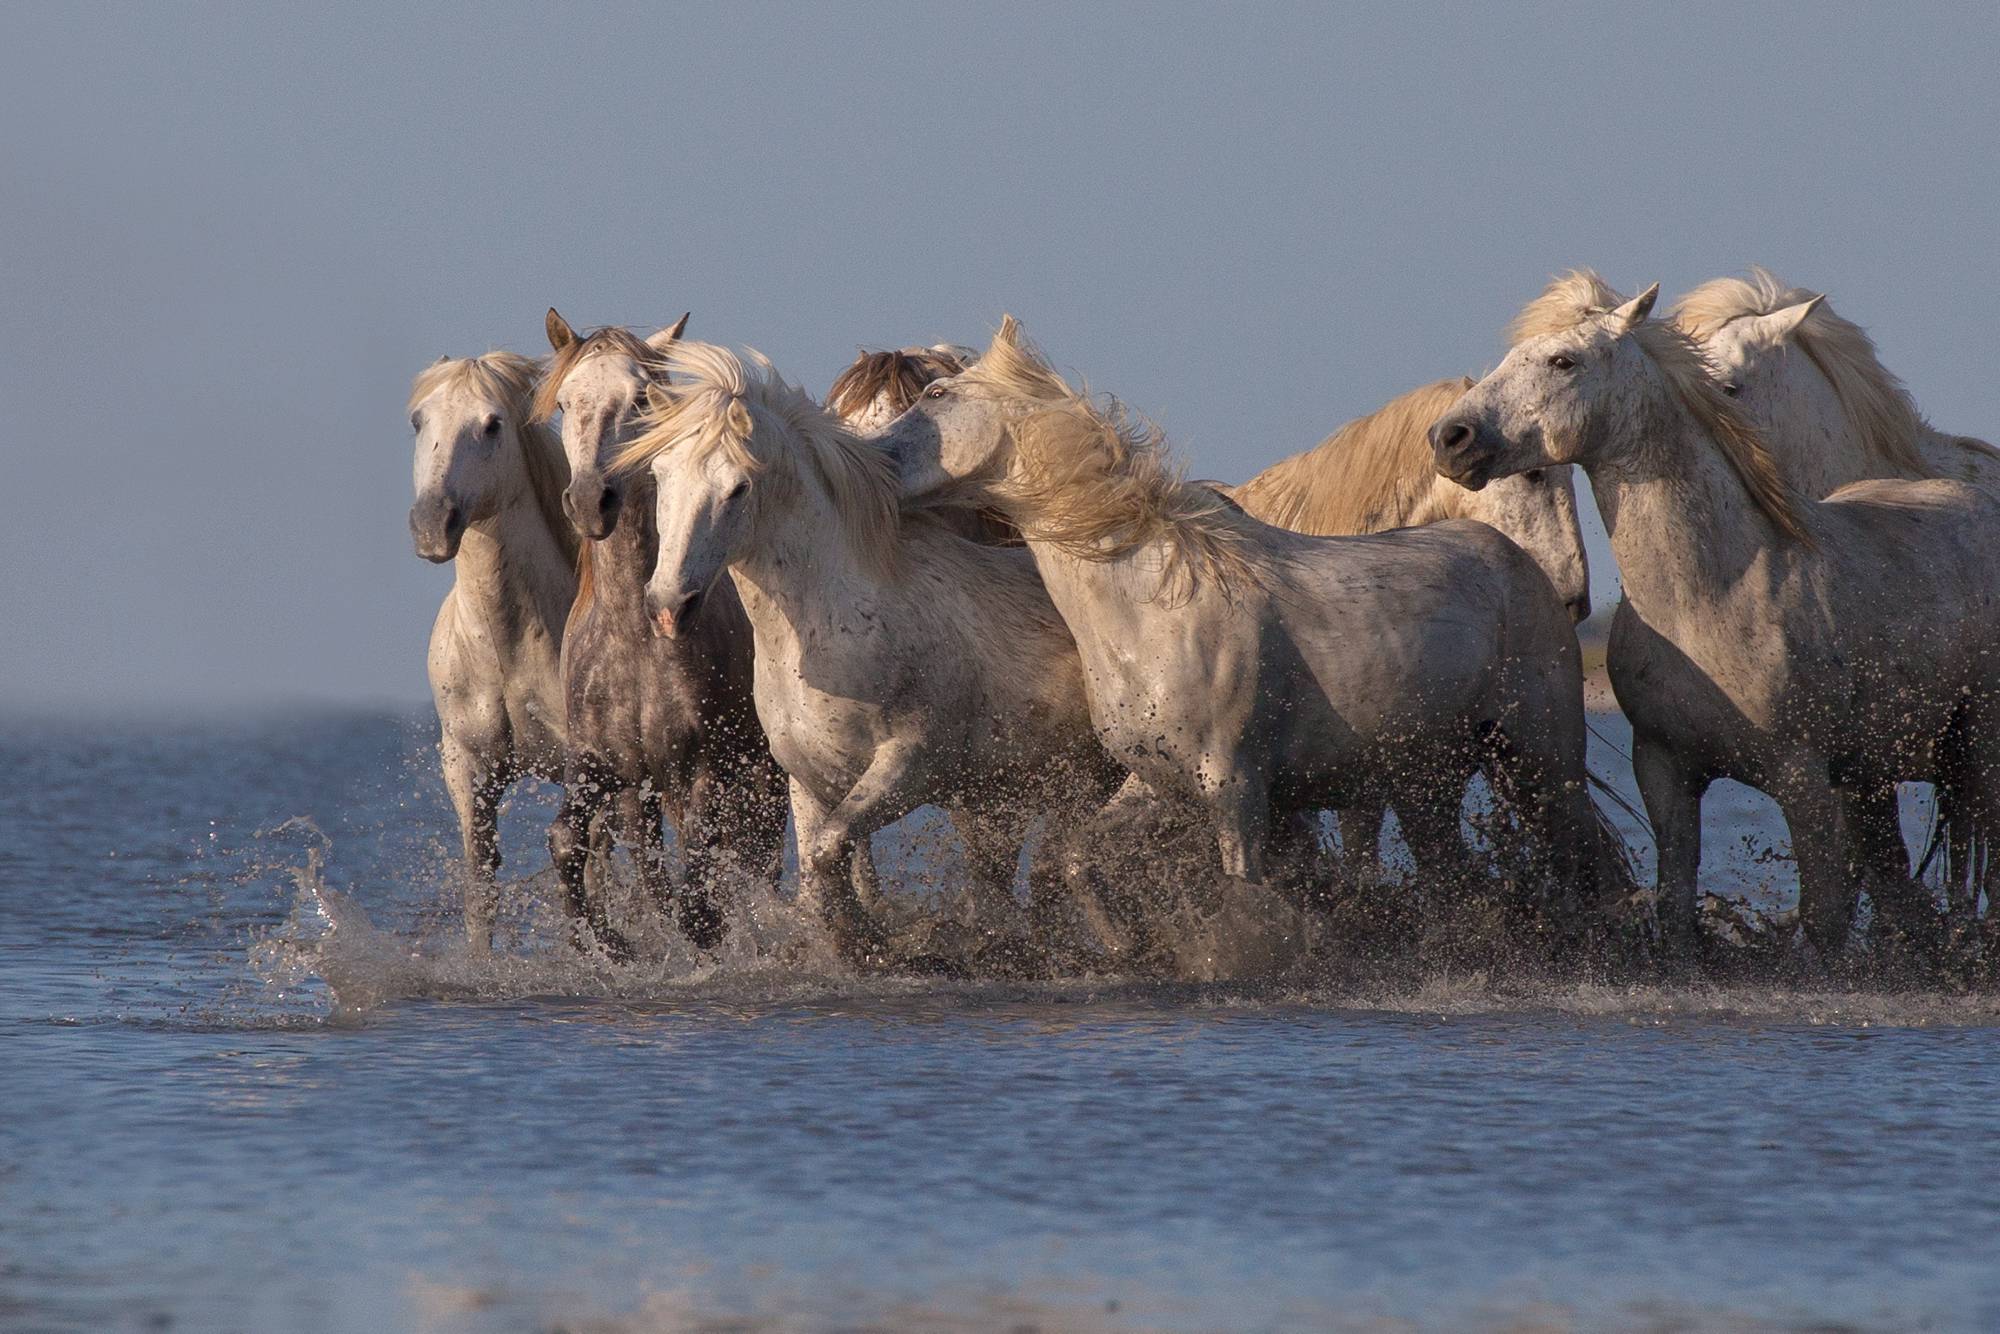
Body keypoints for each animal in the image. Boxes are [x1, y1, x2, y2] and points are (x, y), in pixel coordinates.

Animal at [406, 348, 580, 948]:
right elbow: (481, 880)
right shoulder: (466, 763)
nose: (432, 524)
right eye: (419, 421)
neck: (508, 647)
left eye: (492, 424)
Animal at [616, 340, 1128, 964]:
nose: (668, 605)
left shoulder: (909, 766)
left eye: (738, 488)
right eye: (660, 475)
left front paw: (878, 943)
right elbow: (821, 874)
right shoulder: (809, 781)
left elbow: (830, 855)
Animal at [876, 318, 1608, 924]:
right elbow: (1079, 861)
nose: (870, 460)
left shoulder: (1235, 790)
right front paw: (1120, 945)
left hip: (1539, 760)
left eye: (935, 393)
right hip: (1427, 784)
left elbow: (1243, 897)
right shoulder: (1157, 783)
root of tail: (1526, 571)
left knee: (1576, 866)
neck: (1151, 607)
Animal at [1432, 274, 2000, 960]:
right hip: (1877, 778)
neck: (1711, 595)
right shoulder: (1666, 771)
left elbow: (1825, 921)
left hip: (1978, 756)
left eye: (1563, 361)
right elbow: (1678, 913)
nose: (1450, 439)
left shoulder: (1804, 778)